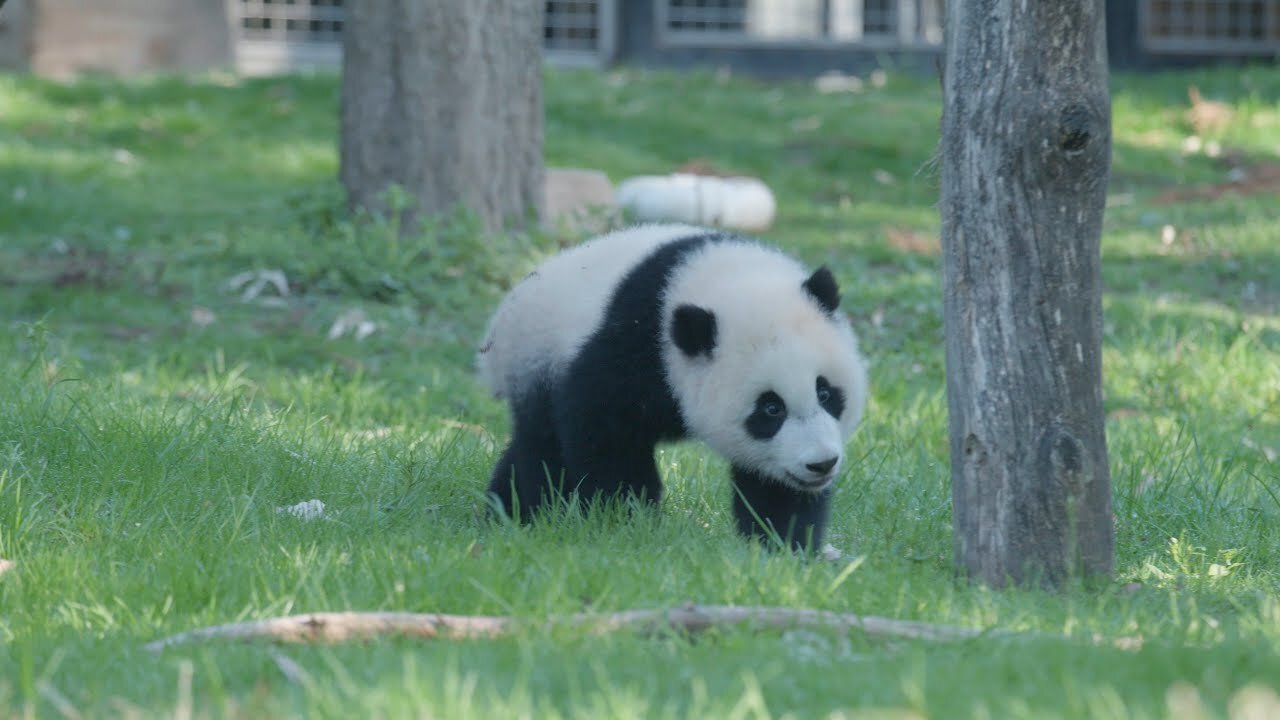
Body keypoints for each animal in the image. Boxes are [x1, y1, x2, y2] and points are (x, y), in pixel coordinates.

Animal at [481, 221, 870, 545]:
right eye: (771, 408)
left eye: (825, 392)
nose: (821, 464)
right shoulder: (634, 345)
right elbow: (604, 431)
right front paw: (628, 518)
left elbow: (773, 484)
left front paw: (783, 542)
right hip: (540, 361)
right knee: (542, 449)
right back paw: (525, 513)